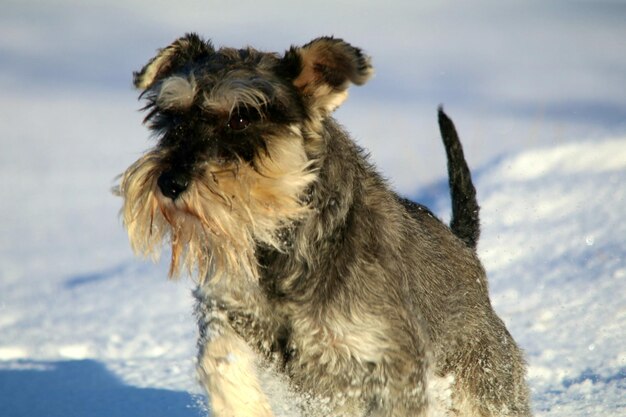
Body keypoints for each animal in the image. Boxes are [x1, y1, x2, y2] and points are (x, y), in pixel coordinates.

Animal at [116, 33, 528, 416]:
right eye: (172, 115)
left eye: (242, 117)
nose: (169, 182)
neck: (279, 242)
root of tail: (465, 247)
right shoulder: (229, 315)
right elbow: (219, 357)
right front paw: (245, 405)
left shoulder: (389, 359)